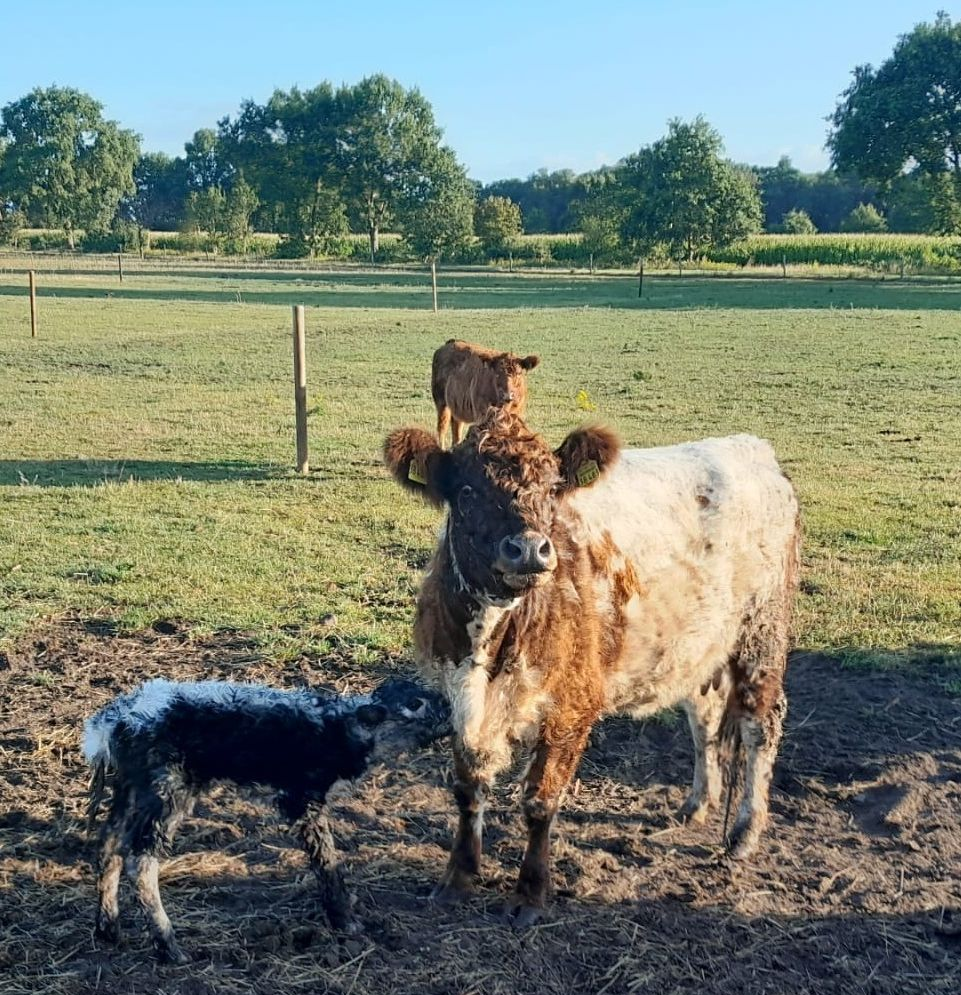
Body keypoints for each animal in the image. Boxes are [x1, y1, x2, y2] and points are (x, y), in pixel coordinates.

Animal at [383, 408, 799, 927]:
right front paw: (459, 876)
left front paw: (530, 892)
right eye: (467, 491)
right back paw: (696, 805)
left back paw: (744, 833)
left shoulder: (572, 705)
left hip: (762, 632)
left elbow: (540, 799)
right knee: (704, 717)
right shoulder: (458, 696)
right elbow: (467, 788)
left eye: (551, 489)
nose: (529, 549)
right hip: (697, 644)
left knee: (761, 726)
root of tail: (753, 449)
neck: (492, 638)